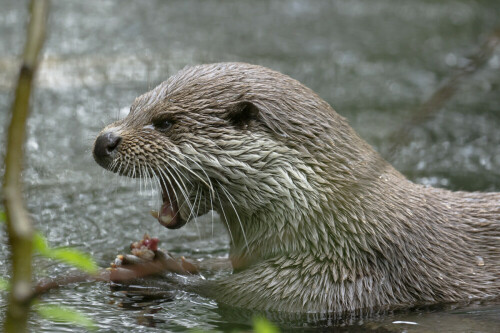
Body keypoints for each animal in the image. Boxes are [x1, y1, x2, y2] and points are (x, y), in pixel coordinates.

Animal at [92, 62, 498, 314]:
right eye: (133, 107)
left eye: (165, 122)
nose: (103, 141)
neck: (336, 226)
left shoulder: (326, 283)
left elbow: (220, 291)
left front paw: (154, 270)